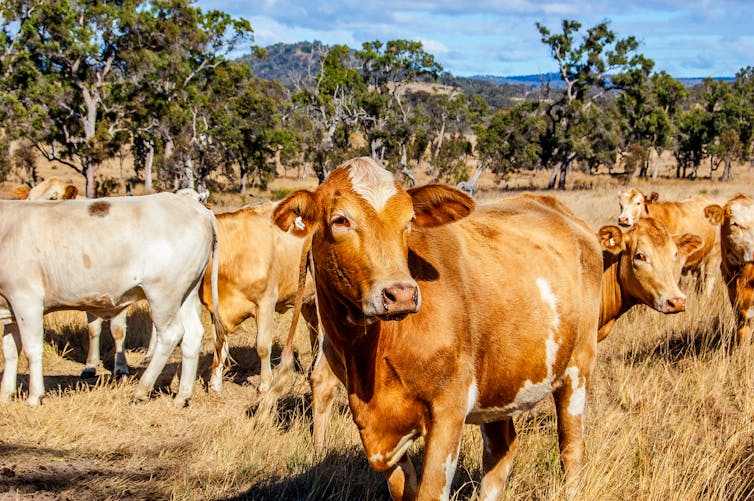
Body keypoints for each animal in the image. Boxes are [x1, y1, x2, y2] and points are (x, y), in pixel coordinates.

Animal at [0, 191, 223, 406]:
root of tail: (194, 206)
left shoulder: (26, 300)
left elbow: (31, 350)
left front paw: (34, 396)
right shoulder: (9, 308)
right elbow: (10, 351)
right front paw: (5, 395)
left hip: (163, 294)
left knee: (171, 334)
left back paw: (141, 391)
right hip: (186, 294)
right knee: (193, 335)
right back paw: (182, 396)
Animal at [270, 157, 600, 500]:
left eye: (409, 221)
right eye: (340, 220)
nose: (401, 294)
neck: (369, 355)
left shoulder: (448, 410)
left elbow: (430, 492)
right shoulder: (378, 430)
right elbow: (404, 489)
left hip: (579, 366)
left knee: (571, 448)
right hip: (501, 379)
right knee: (501, 450)